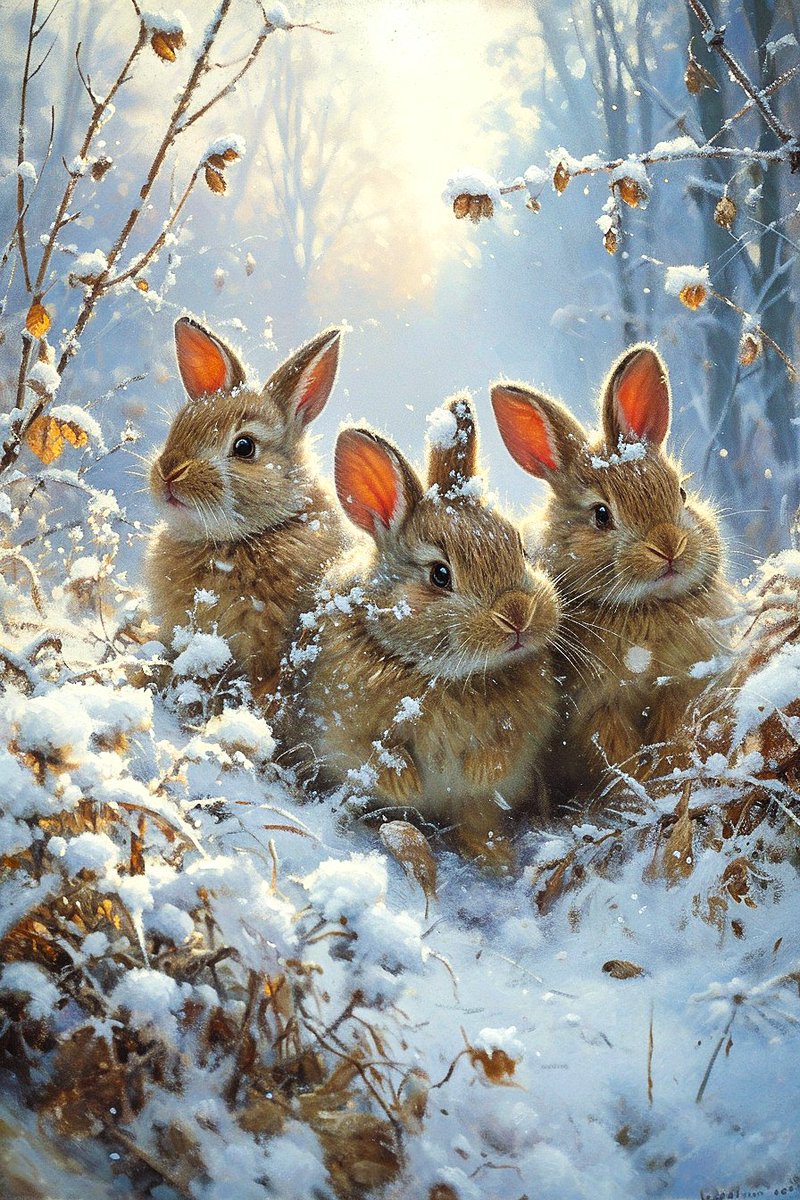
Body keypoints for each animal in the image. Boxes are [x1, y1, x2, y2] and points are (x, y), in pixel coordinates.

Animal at [285, 394, 561, 870]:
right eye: (439, 575)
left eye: (521, 549)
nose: (517, 615)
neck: (440, 675)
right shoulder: (341, 727)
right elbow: (371, 751)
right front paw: (406, 782)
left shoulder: (526, 728)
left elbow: (505, 746)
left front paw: (478, 768)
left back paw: (493, 855)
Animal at [490, 343, 734, 797]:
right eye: (601, 515)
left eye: (681, 492)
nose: (668, 547)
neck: (645, 608)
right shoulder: (597, 707)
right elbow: (616, 752)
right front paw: (636, 794)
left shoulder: (679, 686)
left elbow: (672, 732)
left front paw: (665, 781)